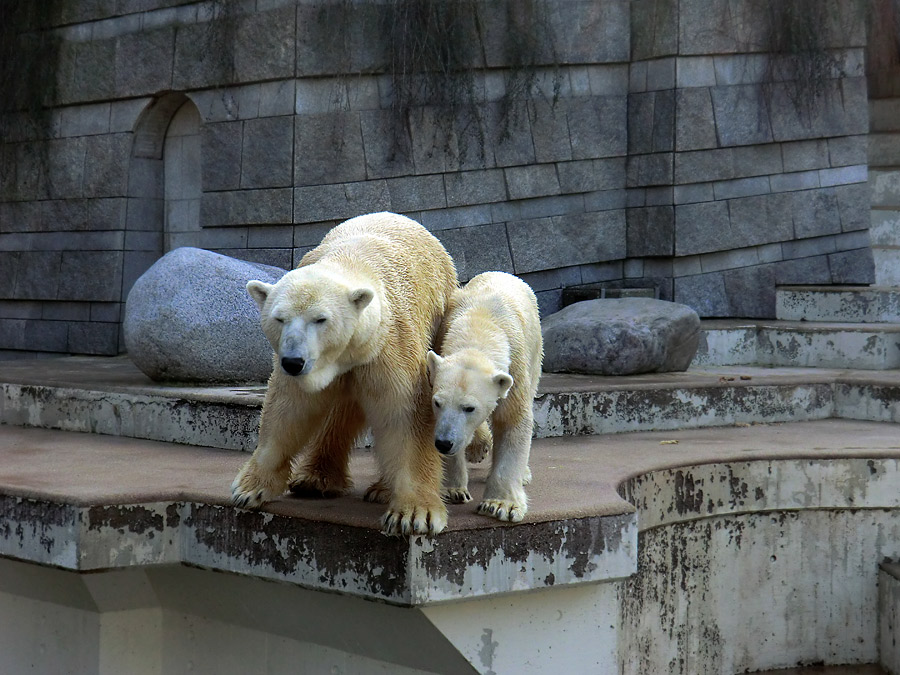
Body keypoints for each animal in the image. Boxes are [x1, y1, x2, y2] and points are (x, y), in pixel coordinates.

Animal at [232, 214, 458, 536]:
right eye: (280, 318)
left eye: (320, 319)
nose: (293, 361)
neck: (352, 260)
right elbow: (288, 410)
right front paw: (249, 488)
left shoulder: (388, 346)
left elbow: (404, 415)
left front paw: (415, 514)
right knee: (338, 413)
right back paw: (314, 480)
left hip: (441, 319)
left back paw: (381, 489)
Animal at [428, 270, 544, 524]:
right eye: (437, 403)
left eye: (469, 408)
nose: (443, 443)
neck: (480, 324)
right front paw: (453, 490)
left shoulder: (515, 367)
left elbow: (512, 420)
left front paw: (500, 504)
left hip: (535, 350)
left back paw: (524, 473)